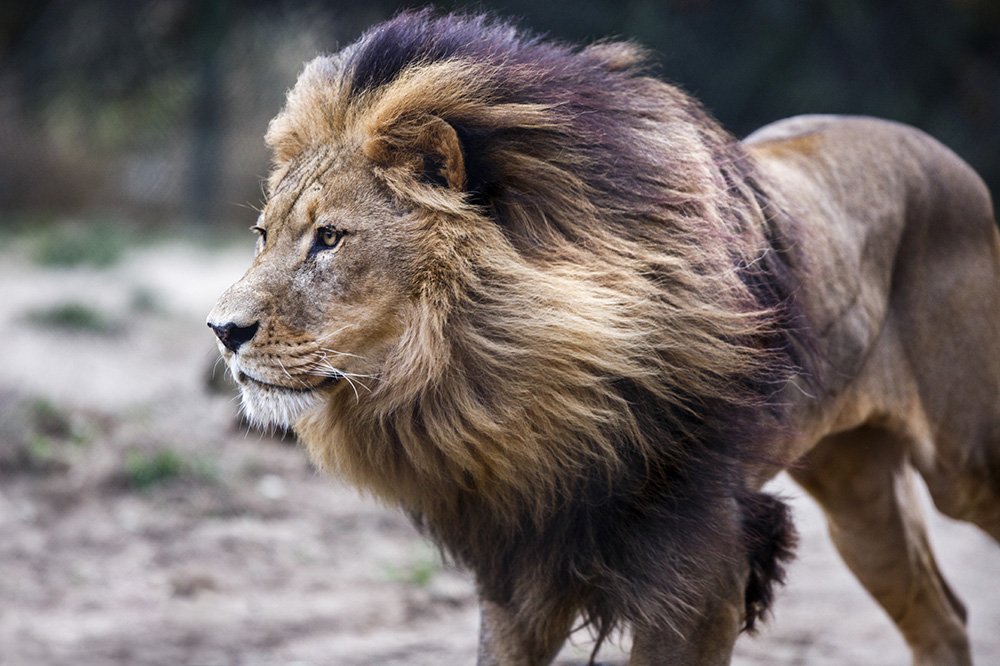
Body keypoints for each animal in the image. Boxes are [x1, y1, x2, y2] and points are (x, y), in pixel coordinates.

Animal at [207, 11, 1000, 665]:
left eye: (330, 239)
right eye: (263, 235)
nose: (222, 330)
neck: (499, 387)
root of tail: (947, 157)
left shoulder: (701, 564)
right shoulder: (521, 567)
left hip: (963, 463)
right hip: (855, 483)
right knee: (943, 618)